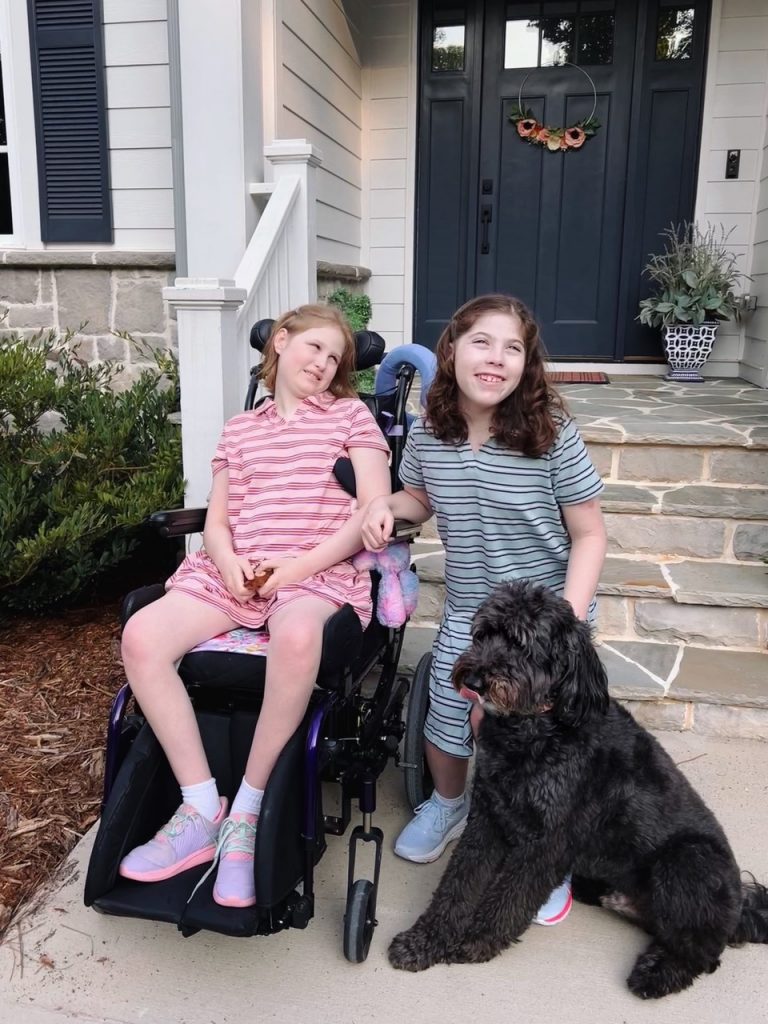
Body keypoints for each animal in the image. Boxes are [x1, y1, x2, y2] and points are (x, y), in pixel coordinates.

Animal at [391, 581, 768, 995]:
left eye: (522, 644)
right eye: (482, 634)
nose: (473, 680)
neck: (533, 731)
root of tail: (740, 908)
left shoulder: (548, 841)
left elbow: (510, 896)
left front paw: (478, 940)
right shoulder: (488, 818)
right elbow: (457, 885)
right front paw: (423, 941)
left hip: (689, 858)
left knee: (702, 953)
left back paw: (655, 974)